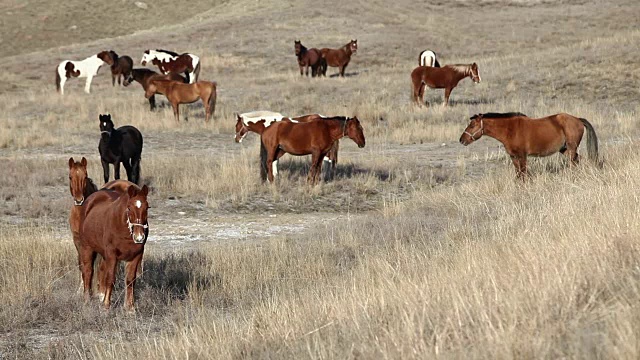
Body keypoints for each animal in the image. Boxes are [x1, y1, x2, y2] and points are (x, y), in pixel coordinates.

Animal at [460, 112, 600, 180]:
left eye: (472, 125)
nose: (461, 140)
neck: (511, 130)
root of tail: (577, 119)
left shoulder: (522, 156)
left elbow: (523, 173)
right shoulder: (514, 157)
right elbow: (518, 174)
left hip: (571, 148)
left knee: (573, 162)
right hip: (564, 149)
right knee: (577, 160)